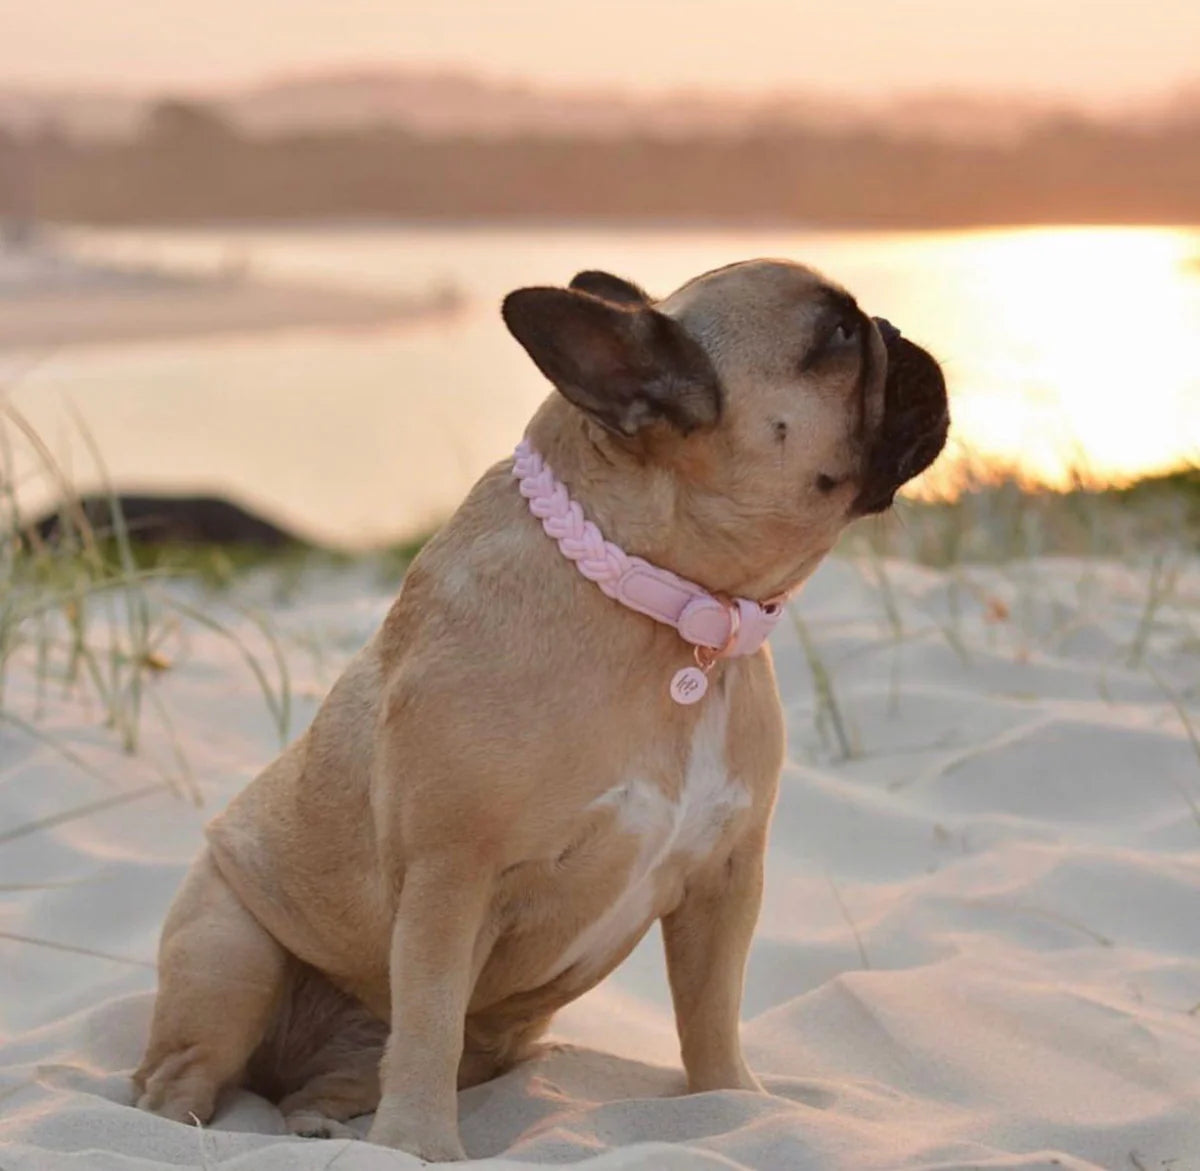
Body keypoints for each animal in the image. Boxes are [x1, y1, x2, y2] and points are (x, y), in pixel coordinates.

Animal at [133, 257, 945, 1161]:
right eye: (836, 338)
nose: (904, 333)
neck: (671, 608)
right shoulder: (451, 877)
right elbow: (429, 1021)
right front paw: (422, 1145)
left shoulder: (725, 879)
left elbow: (711, 1014)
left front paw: (733, 1104)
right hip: (228, 951)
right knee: (183, 1076)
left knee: (342, 1074)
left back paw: (322, 1115)